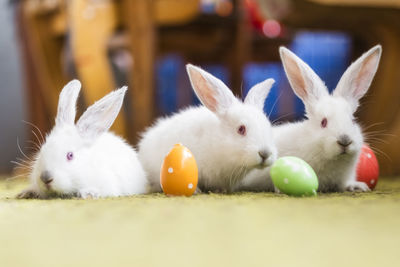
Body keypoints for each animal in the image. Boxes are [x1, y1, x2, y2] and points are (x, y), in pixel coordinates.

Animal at [241, 45, 382, 193]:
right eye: (323, 122)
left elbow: (345, 183)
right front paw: (280, 189)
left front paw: (358, 186)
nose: (345, 141)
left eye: (353, 120)